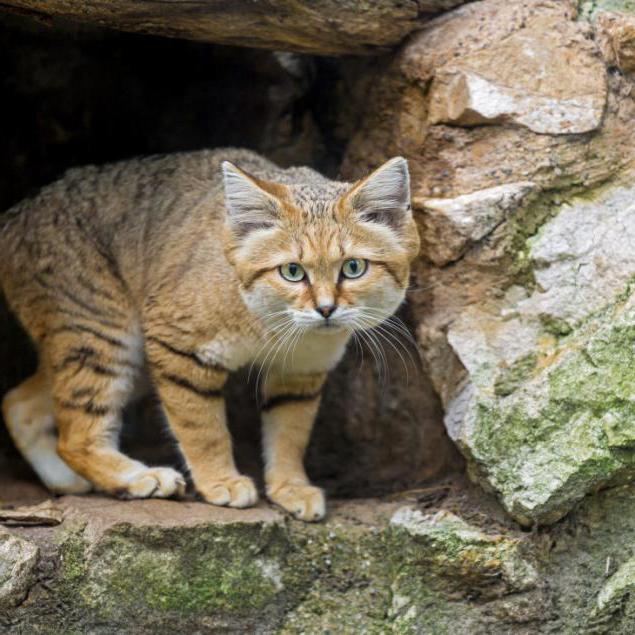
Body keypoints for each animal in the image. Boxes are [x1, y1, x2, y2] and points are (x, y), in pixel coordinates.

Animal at [1, 150, 422, 520]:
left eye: (353, 268)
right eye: (292, 272)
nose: (325, 309)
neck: (269, 324)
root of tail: (15, 214)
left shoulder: (301, 372)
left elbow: (290, 432)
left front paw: (290, 487)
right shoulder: (178, 346)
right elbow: (201, 426)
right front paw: (220, 481)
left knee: (19, 404)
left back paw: (67, 480)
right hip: (105, 336)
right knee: (75, 434)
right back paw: (137, 478)